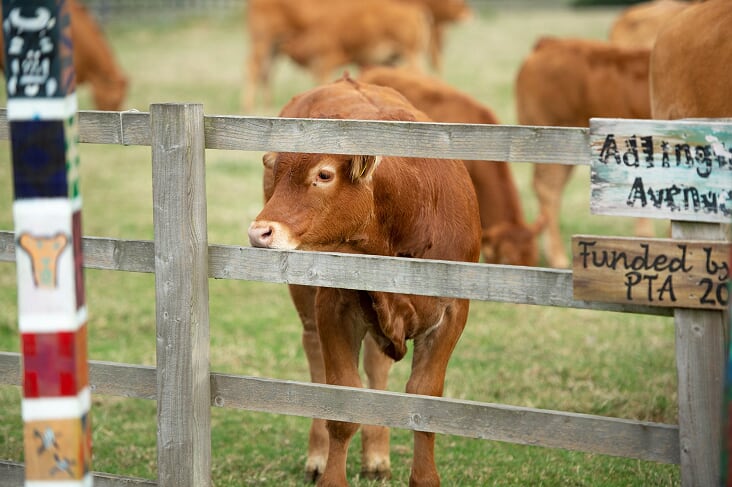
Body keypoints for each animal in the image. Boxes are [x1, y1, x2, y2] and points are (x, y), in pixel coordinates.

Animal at [243, 0, 432, 111]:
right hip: (264, 42)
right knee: (256, 69)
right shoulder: (323, 62)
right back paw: (251, 106)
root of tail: (416, 12)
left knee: (264, 72)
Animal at [249, 74, 484, 486]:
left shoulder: (452, 312)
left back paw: (376, 456)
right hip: (306, 298)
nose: (260, 232)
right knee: (314, 351)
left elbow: (424, 397)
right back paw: (317, 455)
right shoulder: (334, 306)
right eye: (277, 175)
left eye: (324, 174)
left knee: (377, 363)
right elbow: (342, 403)